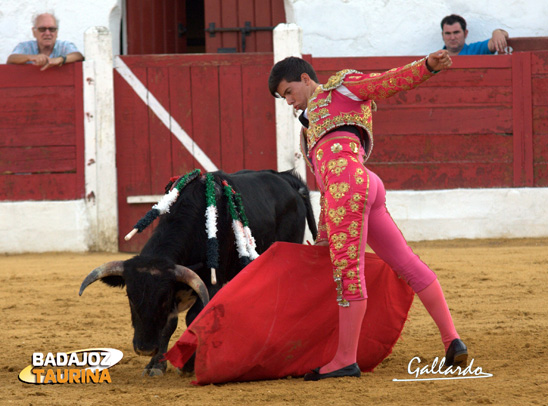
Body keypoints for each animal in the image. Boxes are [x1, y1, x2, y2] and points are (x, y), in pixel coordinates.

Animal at [78, 168, 316, 374]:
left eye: (163, 299)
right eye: (130, 297)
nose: (145, 348)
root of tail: (287, 180)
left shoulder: (210, 284)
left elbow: (193, 318)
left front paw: (189, 364)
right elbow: (169, 324)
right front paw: (156, 365)